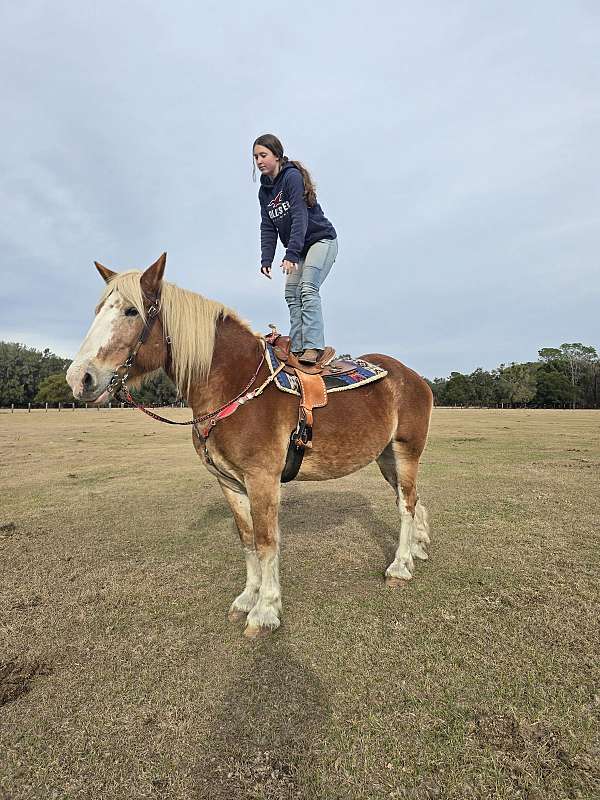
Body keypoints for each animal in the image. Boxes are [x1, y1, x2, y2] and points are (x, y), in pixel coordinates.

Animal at [67, 253, 432, 640]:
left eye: (131, 311)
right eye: (98, 310)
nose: (79, 378)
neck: (234, 383)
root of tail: (414, 377)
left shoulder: (262, 478)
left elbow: (266, 541)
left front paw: (265, 610)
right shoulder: (229, 482)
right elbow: (247, 540)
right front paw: (247, 598)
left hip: (406, 451)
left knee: (405, 505)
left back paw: (399, 567)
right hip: (385, 457)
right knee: (412, 500)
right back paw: (417, 549)